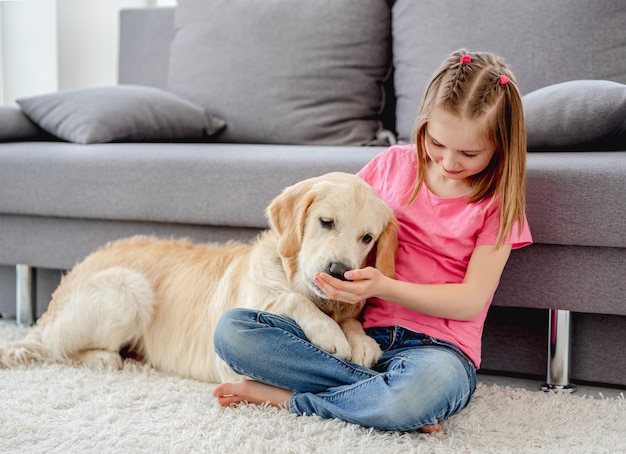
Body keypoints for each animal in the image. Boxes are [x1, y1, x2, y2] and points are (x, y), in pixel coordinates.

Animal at [0, 171, 398, 384]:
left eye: (367, 238)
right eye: (326, 222)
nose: (339, 272)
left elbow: (352, 322)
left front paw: (360, 339)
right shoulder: (228, 363)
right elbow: (290, 298)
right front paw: (330, 332)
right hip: (129, 291)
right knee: (53, 346)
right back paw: (102, 358)